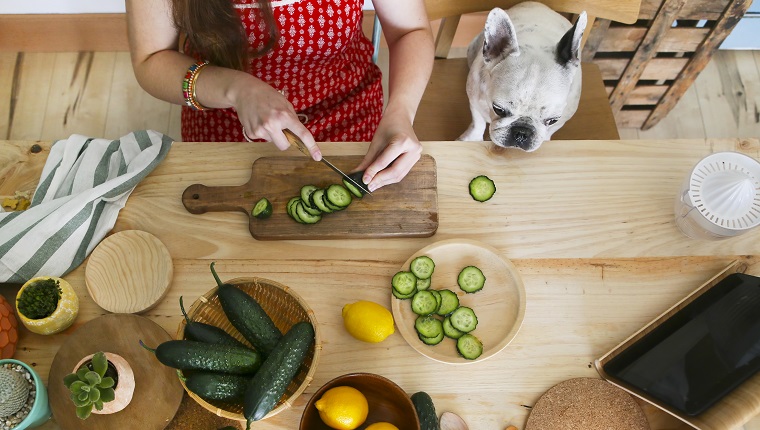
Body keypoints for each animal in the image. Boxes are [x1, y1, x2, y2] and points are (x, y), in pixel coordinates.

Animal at [458, 2, 588, 151]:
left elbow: (550, 131)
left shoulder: (562, 119)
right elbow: (478, 122)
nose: (522, 133)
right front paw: (472, 138)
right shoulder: (474, 101)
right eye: (499, 109)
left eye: (552, 120)